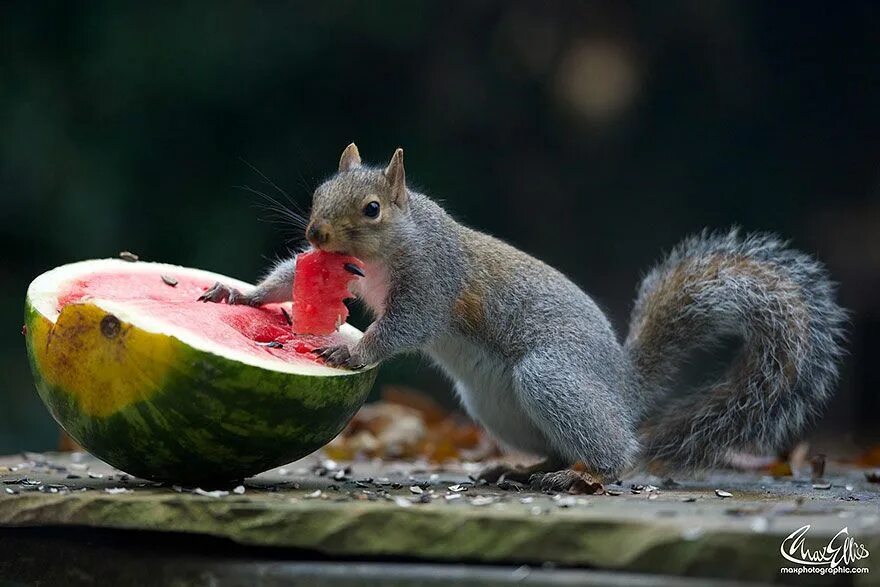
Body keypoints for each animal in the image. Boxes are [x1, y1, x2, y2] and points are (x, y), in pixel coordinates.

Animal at [199, 144, 844, 486]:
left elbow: (406, 326)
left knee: (615, 453)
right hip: (494, 405)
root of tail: (624, 388)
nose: (315, 233)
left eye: (373, 208)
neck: (393, 247)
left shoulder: (434, 283)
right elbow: (292, 279)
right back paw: (523, 470)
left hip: (552, 377)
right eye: (318, 193)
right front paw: (245, 298)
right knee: (558, 446)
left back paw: (582, 475)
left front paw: (348, 348)